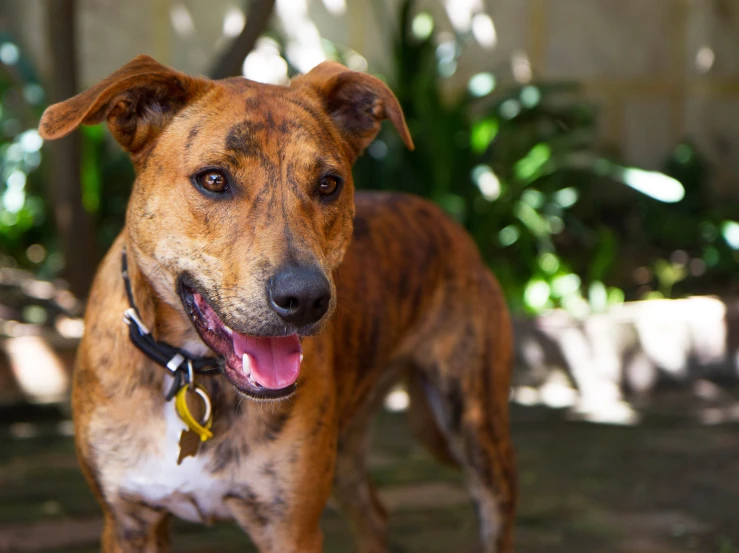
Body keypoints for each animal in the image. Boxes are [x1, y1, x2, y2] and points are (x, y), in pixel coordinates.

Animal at [37, 54, 516, 548]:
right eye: (213, 179)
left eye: (328, 184)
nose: (305, 298)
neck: (194, 372)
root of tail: (443, 218)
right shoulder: (129, 523)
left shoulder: (291, 527)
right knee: (373, 512)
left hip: (477, 430)